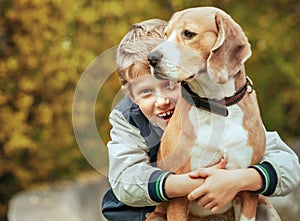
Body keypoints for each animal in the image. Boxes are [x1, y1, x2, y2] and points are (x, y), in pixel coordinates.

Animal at [146, 6, 280, 221]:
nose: (151, 58)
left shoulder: (248, 190)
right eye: (166, 34)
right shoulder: (178, 195)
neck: (215, 105)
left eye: (188, 34)